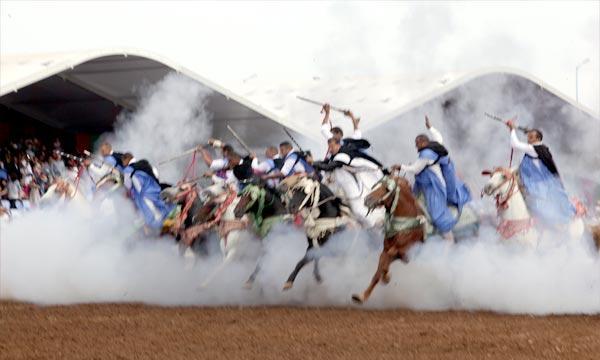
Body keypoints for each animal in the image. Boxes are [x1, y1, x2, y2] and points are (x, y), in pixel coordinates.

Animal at [352, 176, 426, 306]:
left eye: (387, 188)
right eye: (379, 184)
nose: (367, 199)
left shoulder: (405, 251)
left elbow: (393, 255)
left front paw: (386, 277)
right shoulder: (385, 250)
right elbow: (378, 273)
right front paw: (361, 297)